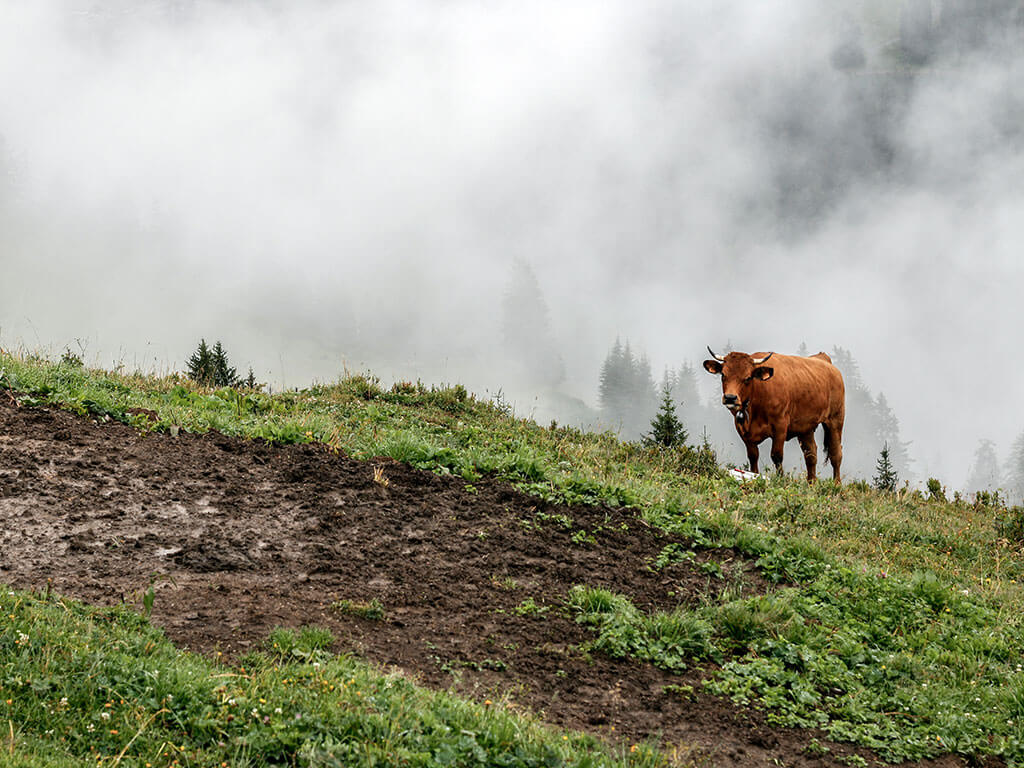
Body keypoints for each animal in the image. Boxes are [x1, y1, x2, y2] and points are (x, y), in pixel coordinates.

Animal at [703, 348, 845, 483]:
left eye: (748, 378)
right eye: (723, 375)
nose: (730, 398)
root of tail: (824, 359)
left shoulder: (780, 426)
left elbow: (776, 456)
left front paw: (780, 479)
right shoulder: (742, 429)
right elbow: (753, 456)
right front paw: (754, 475)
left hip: (836, 419)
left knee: (836, 454)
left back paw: (836, 484)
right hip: (805, 428)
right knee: (811, 454)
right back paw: (811, 483)